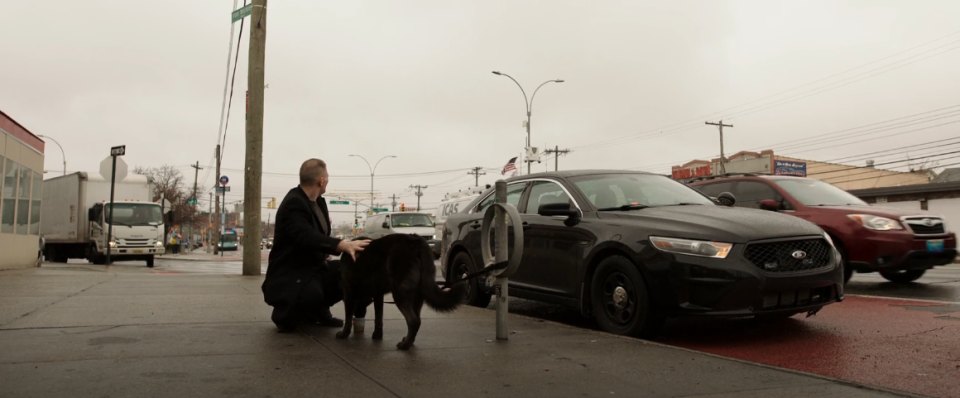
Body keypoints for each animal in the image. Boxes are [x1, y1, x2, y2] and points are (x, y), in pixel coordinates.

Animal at [336, 235, 466, 350]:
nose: (360, 314)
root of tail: (416, 241)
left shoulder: (348, 292)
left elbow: (348, 317)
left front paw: (344, 334)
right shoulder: (378, 295)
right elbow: (378, 317)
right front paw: (377, 335)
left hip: (400, 293)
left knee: (413, 321)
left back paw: (405, 346)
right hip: (417, 295)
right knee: (418, 320)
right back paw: (409, 342)